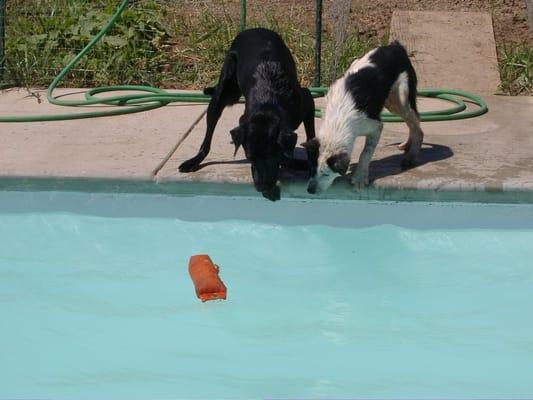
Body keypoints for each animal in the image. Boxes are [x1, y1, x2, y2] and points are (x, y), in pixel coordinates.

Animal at [179, 28, 314, 202]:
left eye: (271, 155)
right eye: (250, 157)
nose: (261, 187)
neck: (268, 103)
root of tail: (253, 29)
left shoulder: (307, 103)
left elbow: (310, 141)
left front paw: (312, 167)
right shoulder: (244, 120)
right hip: (223, 90)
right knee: (208, 134)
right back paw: (195, 159)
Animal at [304, 41, 424, 195]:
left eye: (326, 174)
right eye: (312, 169)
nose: (310, 190)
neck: (337, 119)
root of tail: (395, 46)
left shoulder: (375, 126)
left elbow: (365, 153)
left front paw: (359, 177)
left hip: (401, 100)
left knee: (417, 127)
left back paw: (411, 156)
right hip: (391, 101)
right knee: (412, 125)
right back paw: (407, 145)